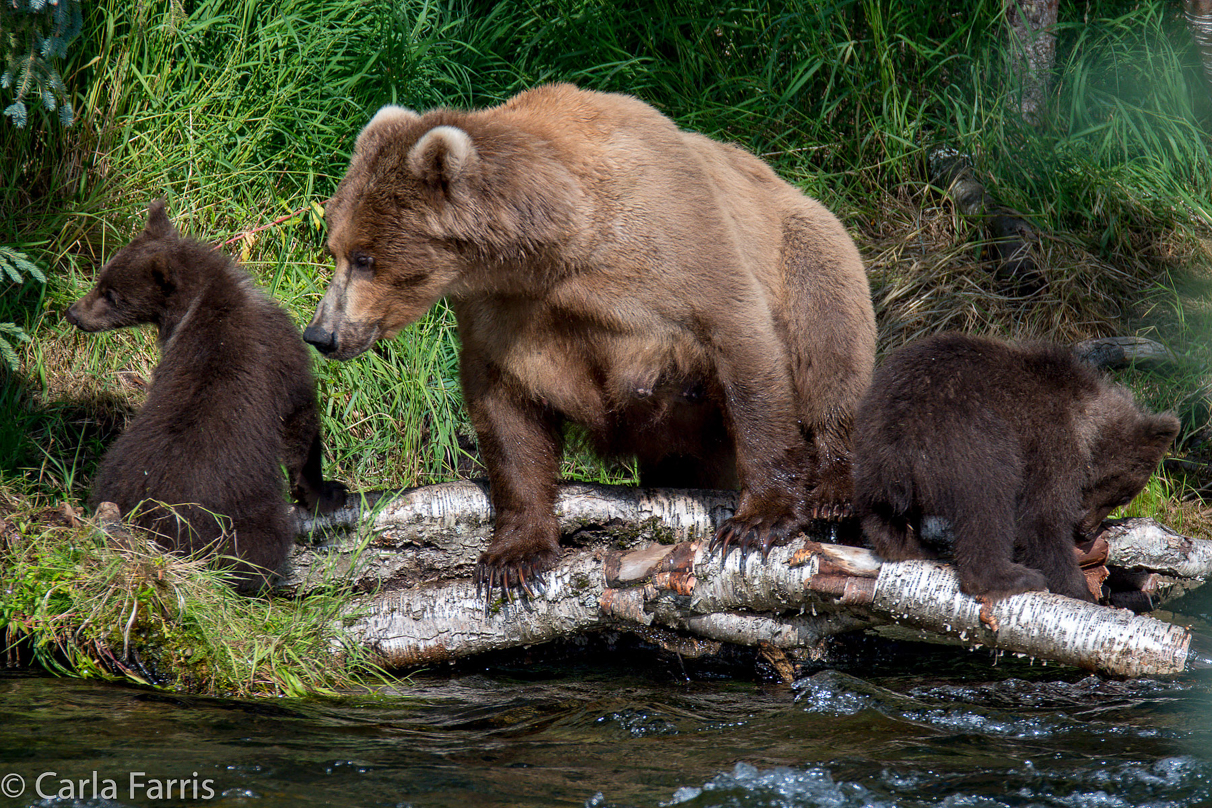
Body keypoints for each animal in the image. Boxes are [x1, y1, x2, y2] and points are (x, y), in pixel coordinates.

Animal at [67, 201, 346, 593]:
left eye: (110, 293)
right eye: (102, 283)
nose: (73, 313)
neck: (201, 301)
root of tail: (152, 529)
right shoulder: (280, 349)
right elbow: (299, 416)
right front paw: (326, 491)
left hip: (116, 475)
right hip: (239, 510)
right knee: (259, 546)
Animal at [301, 83, 872, 593]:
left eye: (366, 257)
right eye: (335, 247)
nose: (320, 333)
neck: (558, 243)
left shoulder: (677, 249)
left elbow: (743, 352)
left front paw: (758, 521)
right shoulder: (505, 314)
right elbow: (506, 415)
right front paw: (514, 556)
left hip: (810, 251)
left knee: (830, 354)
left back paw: (834, 489)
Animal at [848, 331, 1178, 603]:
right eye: (1121, 496)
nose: (1086, 531)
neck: (1086, 422)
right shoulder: (1050, 438)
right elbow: (1041, 518)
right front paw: (1079, 590)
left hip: (872, 442)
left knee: (878, 509)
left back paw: (908, 546)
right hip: (968, 439)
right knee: (988, 502)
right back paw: (1010, 577)